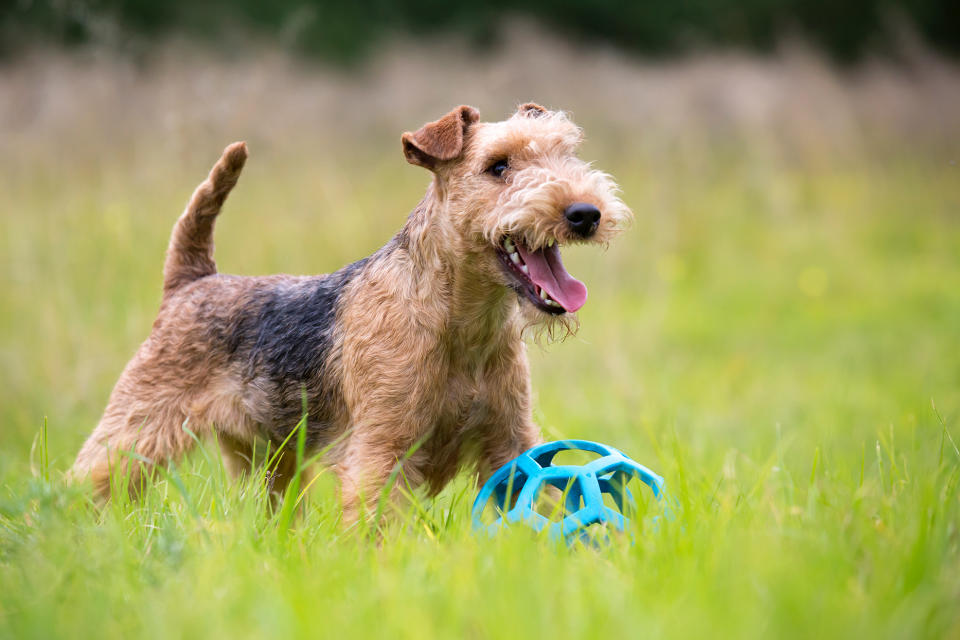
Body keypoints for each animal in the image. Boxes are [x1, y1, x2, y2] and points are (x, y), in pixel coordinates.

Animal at [71, 101, 632, 520]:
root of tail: (194, 280)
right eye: (498, 166)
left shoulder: (510, 445)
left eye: (567, 154)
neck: (461, 322)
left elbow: (539, 501)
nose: (585, 213)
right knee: (86, 481)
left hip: (267, 459)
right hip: (138, 426)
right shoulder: (382, 449)